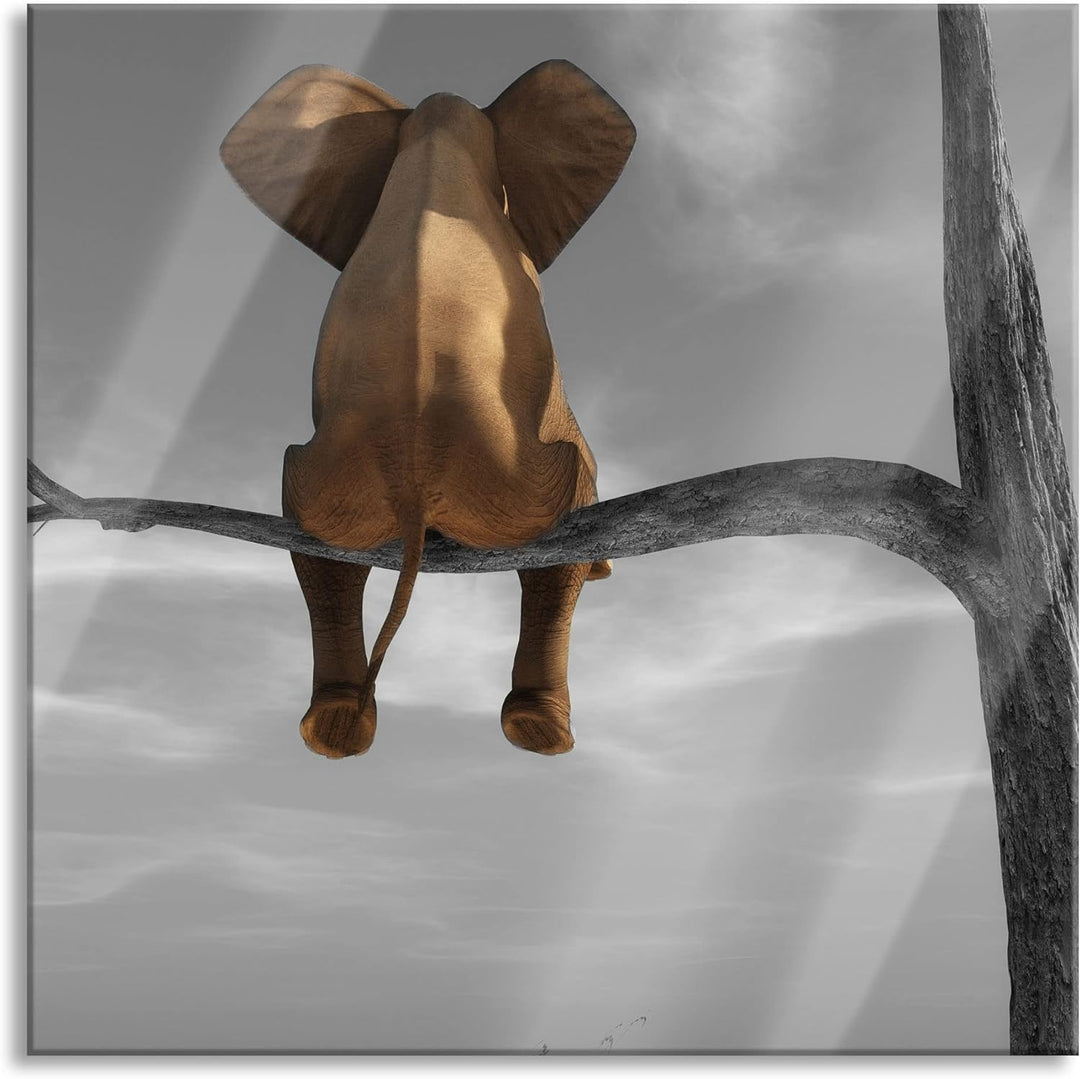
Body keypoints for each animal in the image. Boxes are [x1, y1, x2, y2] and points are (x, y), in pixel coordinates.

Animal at [220, 59, 635, 758]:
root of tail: (411, 479)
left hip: (329, 480)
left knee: (317, 550)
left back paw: (335, 728)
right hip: (516, 481)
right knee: (558, 535)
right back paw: (541, 731)